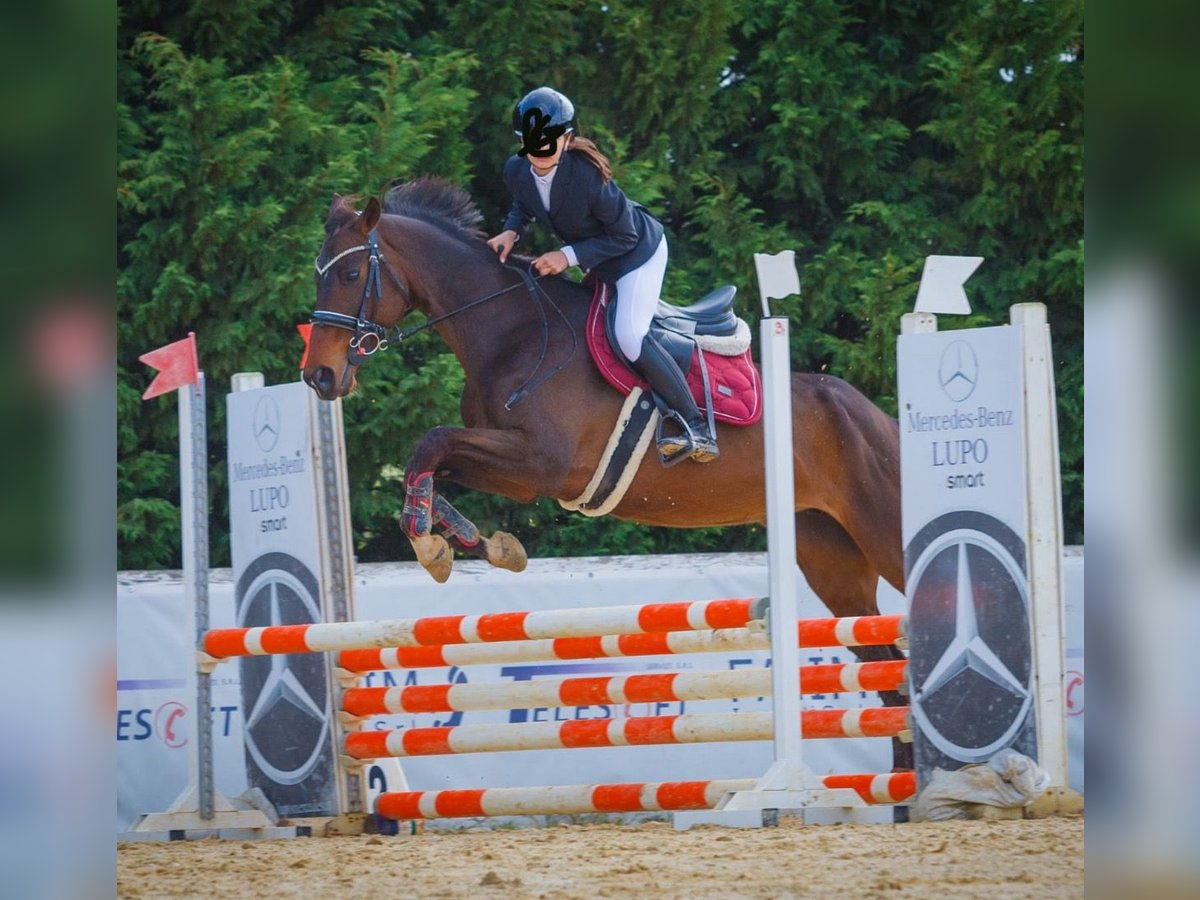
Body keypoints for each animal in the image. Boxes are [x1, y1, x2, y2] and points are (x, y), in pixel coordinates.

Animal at [302, 177, 907, 768]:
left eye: (351, 274)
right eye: (319, 274)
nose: (319, 377)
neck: (511, 332)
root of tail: (878, 419)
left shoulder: (538, 464)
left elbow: (431, 441)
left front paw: (433, 546)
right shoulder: (515, 471)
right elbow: (429, 456)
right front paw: (477, 543)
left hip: (883, 532)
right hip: (832, 564)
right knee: (887, 669)